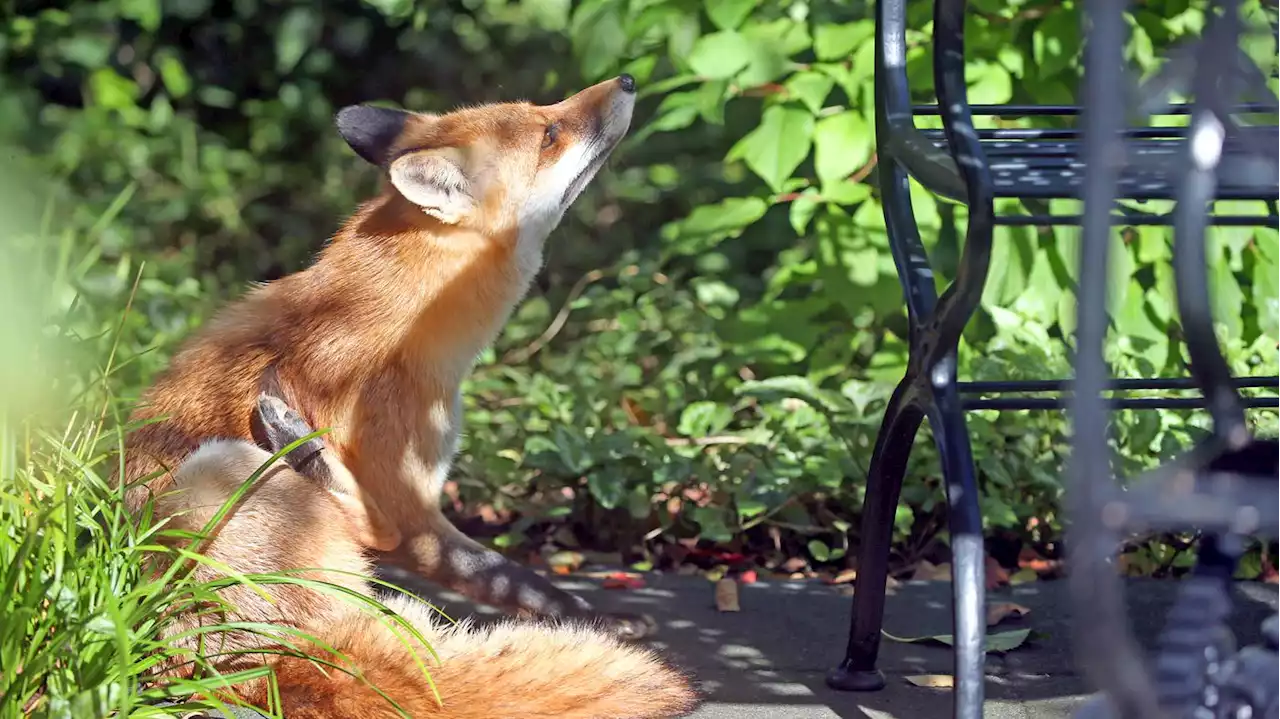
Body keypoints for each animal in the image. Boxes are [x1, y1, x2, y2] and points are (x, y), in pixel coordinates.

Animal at [120, 75, 701, 711]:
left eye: (542, 109)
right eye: (550, 133)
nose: (627, 80)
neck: (402, 320)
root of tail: (257, 668)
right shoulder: (412, 503)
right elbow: (508, 575)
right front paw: (600, 618)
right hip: (214, 473)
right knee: (372, 530)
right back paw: (299, 444)